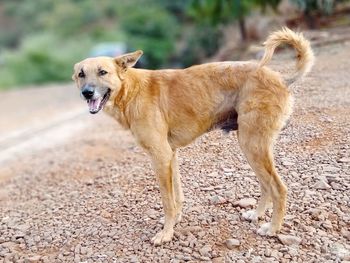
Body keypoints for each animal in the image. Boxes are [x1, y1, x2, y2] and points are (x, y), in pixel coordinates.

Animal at [72, 28, 314, 245]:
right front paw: (175, 221)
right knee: (266, 185)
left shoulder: (160, 156)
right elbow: (177, 196)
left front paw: (165, 234)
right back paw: (256, 215)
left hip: (252, 145)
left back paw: (273, 228)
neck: (131, 91)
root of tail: (282, 78)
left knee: (279, 188)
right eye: (81, 74)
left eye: (103, 72)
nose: (87, 93)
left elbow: (167, 200)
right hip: (253, 147)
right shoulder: (171, 155)